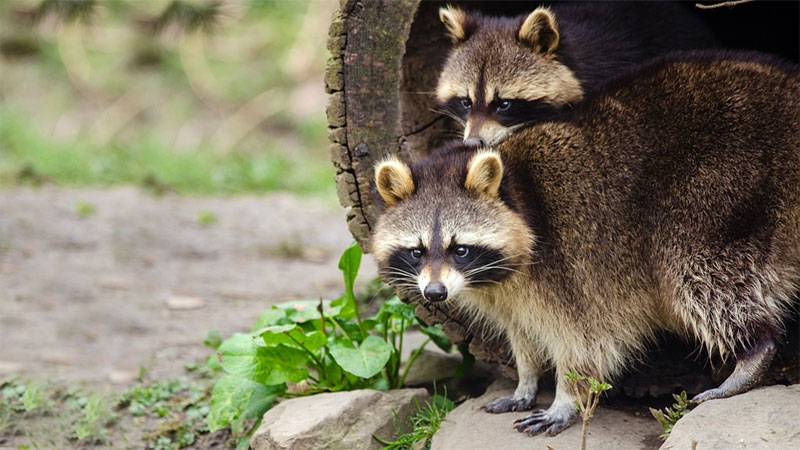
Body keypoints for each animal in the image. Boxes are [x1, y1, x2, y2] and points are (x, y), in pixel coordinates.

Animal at [374, 52, 800, 436]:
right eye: (417, 251)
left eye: (459, 249)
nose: (435, 293)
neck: (516, 192)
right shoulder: (507, 296)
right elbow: (522, 336)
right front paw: (526, 380)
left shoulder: (569, 266)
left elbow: (584, 342)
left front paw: (565, 397)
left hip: (715, 195)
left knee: (698, 277)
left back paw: (754, 349)